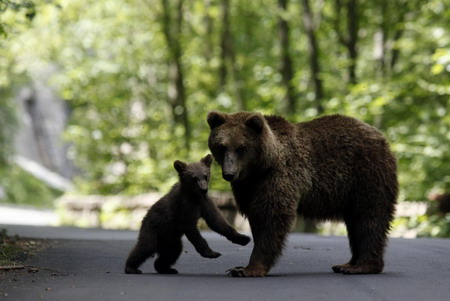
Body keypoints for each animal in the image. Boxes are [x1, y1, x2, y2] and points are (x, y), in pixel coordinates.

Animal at [207, 112, 398, 276]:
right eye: (222, 146)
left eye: (241, 147)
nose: (229, 174)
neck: (259, 169)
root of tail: (381, 136)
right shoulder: (247, 188)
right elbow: (256, 216)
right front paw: (240, 266)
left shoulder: (279, 176)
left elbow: (272, 216)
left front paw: (248, 269)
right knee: (355, 223)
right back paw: (346, 264)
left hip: (366, 175)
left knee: (369, 218)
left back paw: (362, 266)